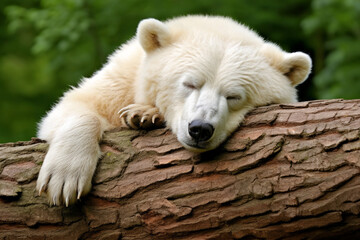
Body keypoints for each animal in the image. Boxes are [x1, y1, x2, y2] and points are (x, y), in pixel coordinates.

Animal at [37, 15, 312, 206]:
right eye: (189, 83)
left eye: (233, 96)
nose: (200, 129)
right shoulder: (121, 80)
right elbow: (78, 103)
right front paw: (64, 178)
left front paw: (143, 115)